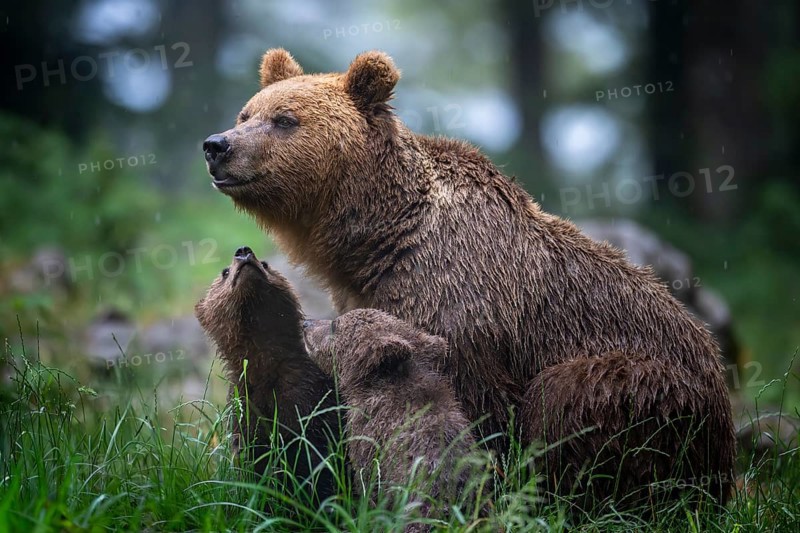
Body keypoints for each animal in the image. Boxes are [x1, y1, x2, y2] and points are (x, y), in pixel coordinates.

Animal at [194, 245, 340, 503]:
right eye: (224, 271)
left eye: (266, 263)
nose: (243, 251)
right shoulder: (245, 409)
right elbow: (254, 462)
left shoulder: (308, 397)